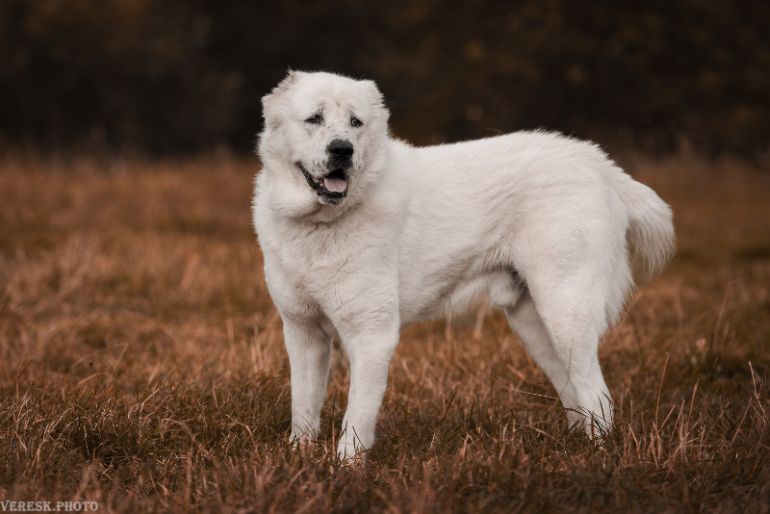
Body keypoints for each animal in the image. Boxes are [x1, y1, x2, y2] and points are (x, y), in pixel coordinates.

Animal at [252, 70, 672, 458]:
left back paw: (598, 458)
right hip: (535, 325)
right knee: (574, 391)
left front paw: (347, 467)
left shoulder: (371, 335)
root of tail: (600, 165)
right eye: (314, 118)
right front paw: (298, 456)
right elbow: (303, 405)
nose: (342, 150)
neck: (321, 225)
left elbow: (357, 414)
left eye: (356, 122)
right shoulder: (303, 333)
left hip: (566, 313)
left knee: (597, 394)